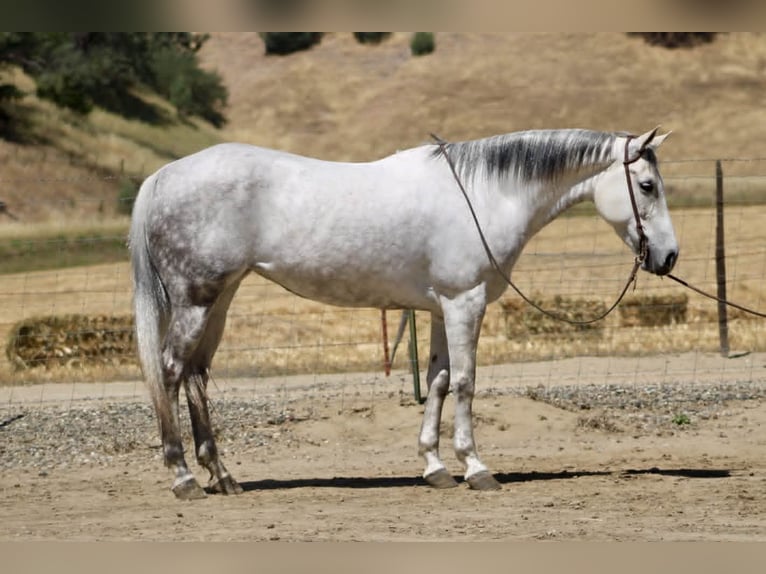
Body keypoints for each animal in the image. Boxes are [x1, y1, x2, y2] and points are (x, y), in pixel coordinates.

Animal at [129, 127, 678, 499]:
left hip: (218, 299)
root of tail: (161, 177)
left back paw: (223, 476)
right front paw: (476, 468)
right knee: (172, 371)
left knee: (196, 375)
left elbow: (438, 381)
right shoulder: (465, 303)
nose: (669, 257)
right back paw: (183, 477)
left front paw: (435, 468)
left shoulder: (439, 309)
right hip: (196, 300)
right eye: (647, 185)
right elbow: (467, 383)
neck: (485, 195)